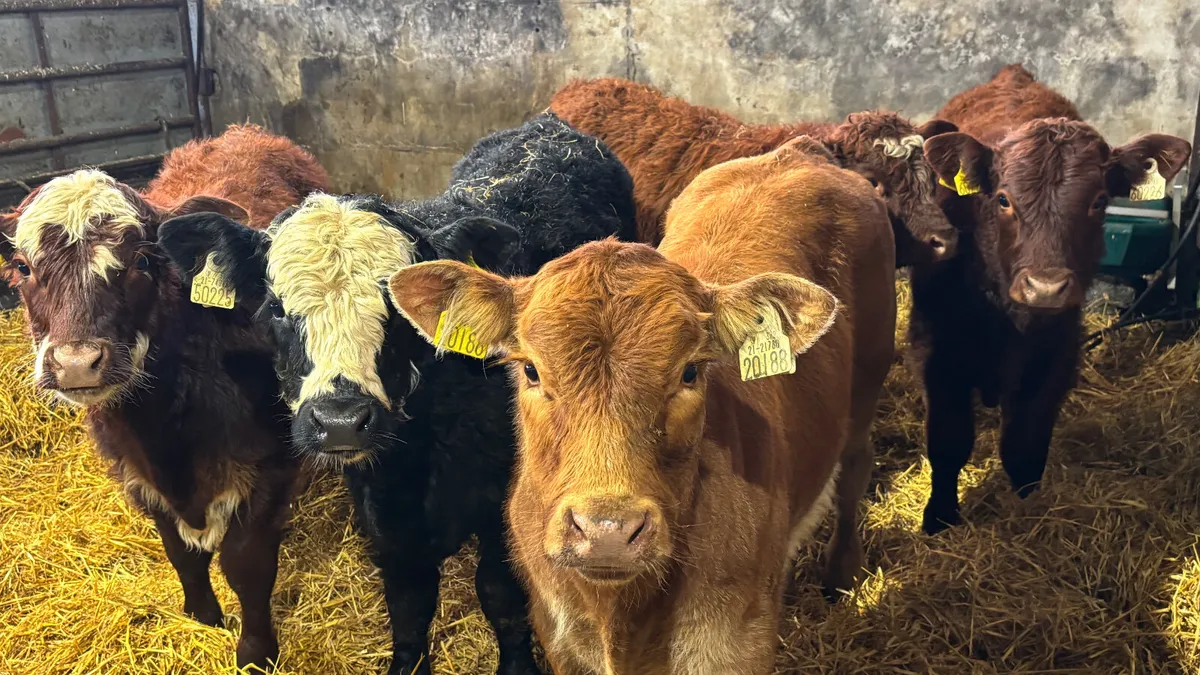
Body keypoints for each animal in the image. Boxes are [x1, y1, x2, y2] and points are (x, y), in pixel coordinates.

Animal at [0, 124, 329, 670]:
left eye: (142, 261)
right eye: (24, 267)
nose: (76, 362)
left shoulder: (269, 469)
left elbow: (246, 562)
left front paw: (256, 652)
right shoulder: (135, 472)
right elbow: (182, 554)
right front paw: (202, 616)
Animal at [156, 113, 637, 675]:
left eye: (400, 306)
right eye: (274, 307)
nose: (340, 420)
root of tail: (549, 126)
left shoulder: (507, 502)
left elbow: (500, 594)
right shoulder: (384, 516)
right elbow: (409, 604)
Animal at [387, 137, 896, 674]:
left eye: (690, 372)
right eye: (530, 370)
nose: (607, 531)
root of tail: (799, 151)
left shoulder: (740, 643)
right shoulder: (560, 638)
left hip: (870, 378)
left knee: (855, 469)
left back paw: (842, 574)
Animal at [913, 64, 1192, 534]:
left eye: (1099, 201)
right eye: (1003, 198)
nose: (1045, 287)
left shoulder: (1057, 352)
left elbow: (1025, 445)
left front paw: (1029, 512)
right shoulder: (939, 348)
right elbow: (949, 441)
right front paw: (940, 517)